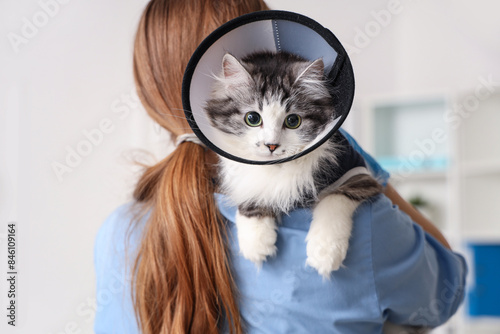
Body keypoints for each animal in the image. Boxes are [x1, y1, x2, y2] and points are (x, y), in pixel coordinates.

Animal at [203, 51, 382, 276]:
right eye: (252, 118)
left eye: (293, 121)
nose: (271, 145)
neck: (277, 167)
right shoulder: (242, 178)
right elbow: (252, 192)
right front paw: (256, 243)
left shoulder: (358, 174)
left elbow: (334, 199)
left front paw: (324, 251)